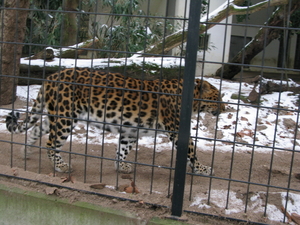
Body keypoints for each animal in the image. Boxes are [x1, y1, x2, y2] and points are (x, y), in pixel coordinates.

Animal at [5, 67, 225, 177]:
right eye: (217, 98)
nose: (224, 108)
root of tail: (50, 77)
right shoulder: (177, 130)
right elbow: (192, 152)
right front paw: (203, 169)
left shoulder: (131, 130)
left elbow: (123, 149)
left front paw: (122, 166)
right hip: (65, 118)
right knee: (51, 143)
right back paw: (61, 166)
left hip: (58, 115)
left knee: (36, 129)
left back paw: (25, 151)